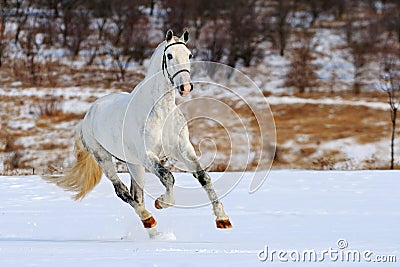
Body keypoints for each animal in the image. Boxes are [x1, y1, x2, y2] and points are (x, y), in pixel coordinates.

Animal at [47, 28, 231, 234]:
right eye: (169, 55)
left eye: (189, 55)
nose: (185, 87)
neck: (161, 112)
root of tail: (88, 116)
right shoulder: (147, 155)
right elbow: (168, 177)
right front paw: (161, 203)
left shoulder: (183, 150)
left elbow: (203, 177)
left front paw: (222, 219)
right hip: (105, 158)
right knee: (123, 192)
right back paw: (148, 218)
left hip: (134, 164)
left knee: (137, 195)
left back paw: (152, 230)